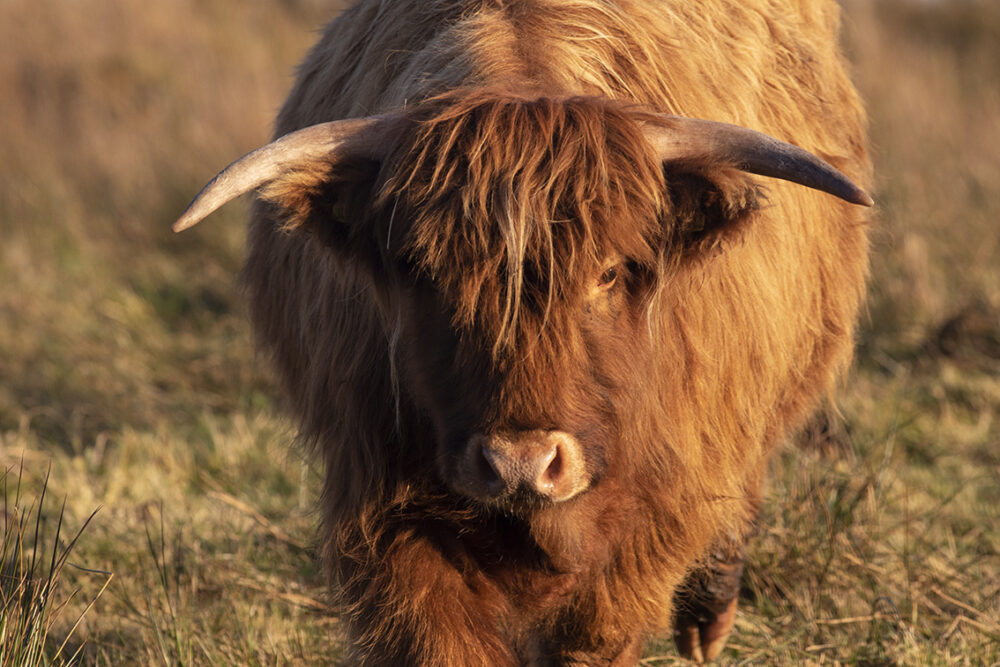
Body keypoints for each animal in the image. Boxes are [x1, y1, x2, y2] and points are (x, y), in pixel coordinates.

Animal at [176, 2, 872, 664]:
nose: (520, 465)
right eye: (421, 271)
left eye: (609, 272)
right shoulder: (387, 506)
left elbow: (596, 632)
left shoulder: (657, 504)